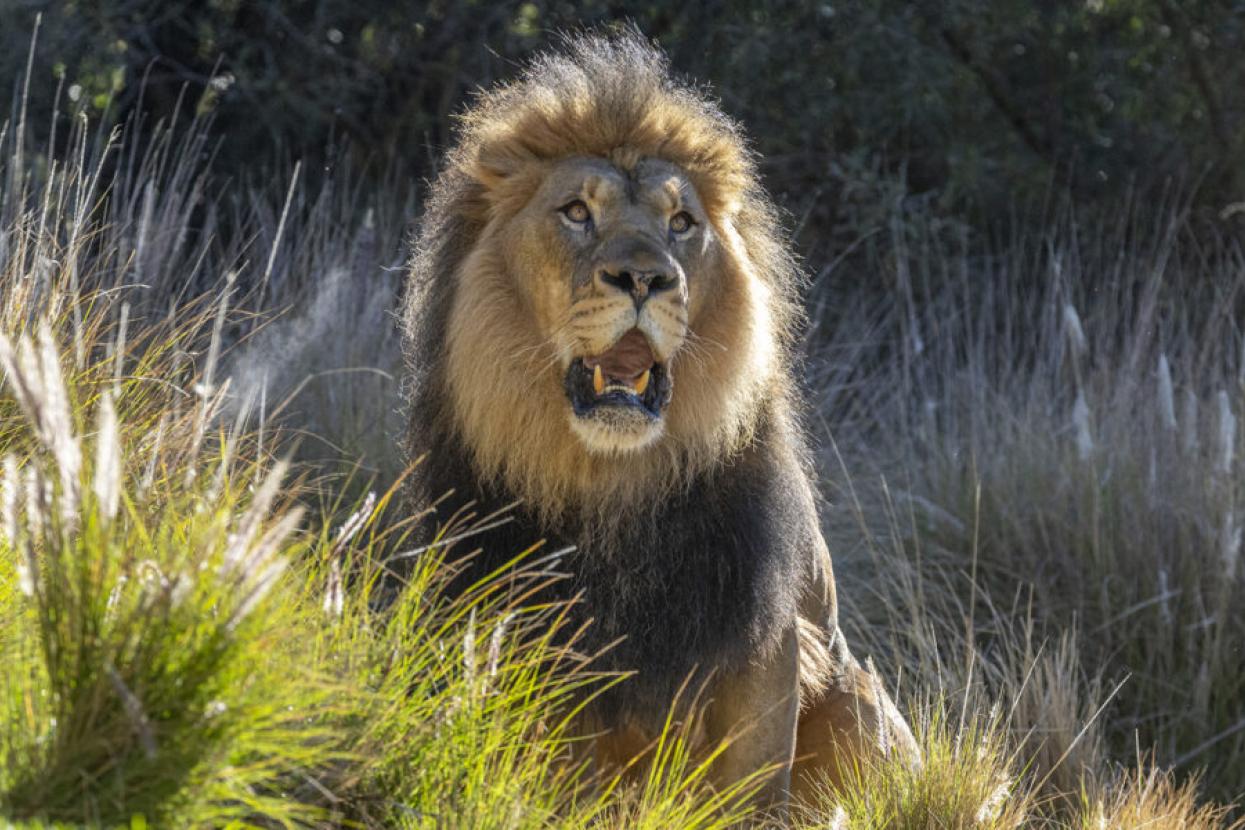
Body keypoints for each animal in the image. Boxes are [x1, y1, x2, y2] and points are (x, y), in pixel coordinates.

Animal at [401, 30, 918, 814]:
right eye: (576, 212)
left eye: (681, 224)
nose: (645, 279)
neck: (614, 480)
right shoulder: (533, 649)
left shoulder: (762, 639)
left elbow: (751, 794)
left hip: (859, 700)